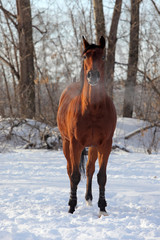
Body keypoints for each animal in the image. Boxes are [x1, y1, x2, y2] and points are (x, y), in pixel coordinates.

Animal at [57, 36, 117, 216]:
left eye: (103, 56)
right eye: (85, 56)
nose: (93, 76)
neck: (93, 109)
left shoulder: (105, 144)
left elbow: (101, 176)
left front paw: (102, 208)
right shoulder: (75, 143)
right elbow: (75, 175)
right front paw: (71, 206)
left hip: (93, 147)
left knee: (90, 169)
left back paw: (89, 198)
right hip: (66, 143)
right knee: (70, 170)